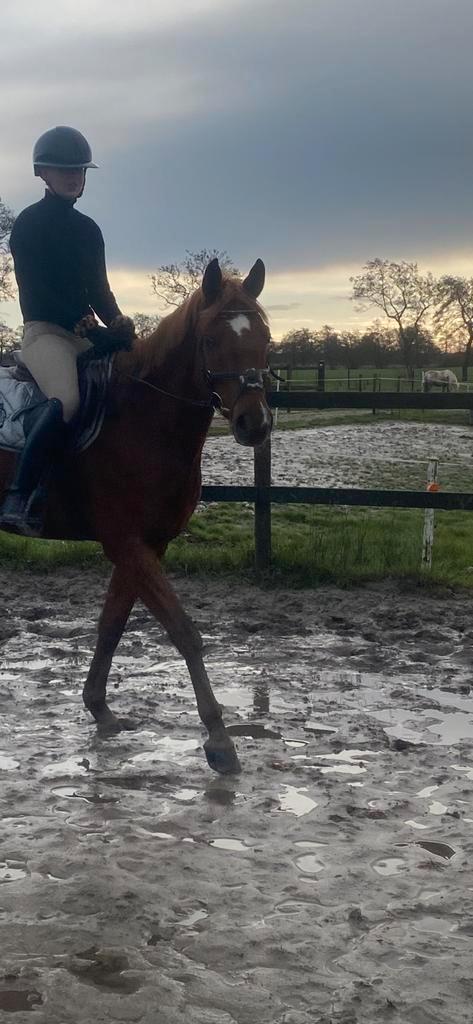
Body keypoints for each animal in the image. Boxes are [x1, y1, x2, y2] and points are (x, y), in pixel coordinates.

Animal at [0, 258, 272, 774]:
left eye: (265, 337)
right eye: (211, 340)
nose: (255, 423)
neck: (144, 416)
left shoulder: (145, 545)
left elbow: (112, 624)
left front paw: (99, 707)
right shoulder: (126, 542)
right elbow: (185, 632)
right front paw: (220, 741)